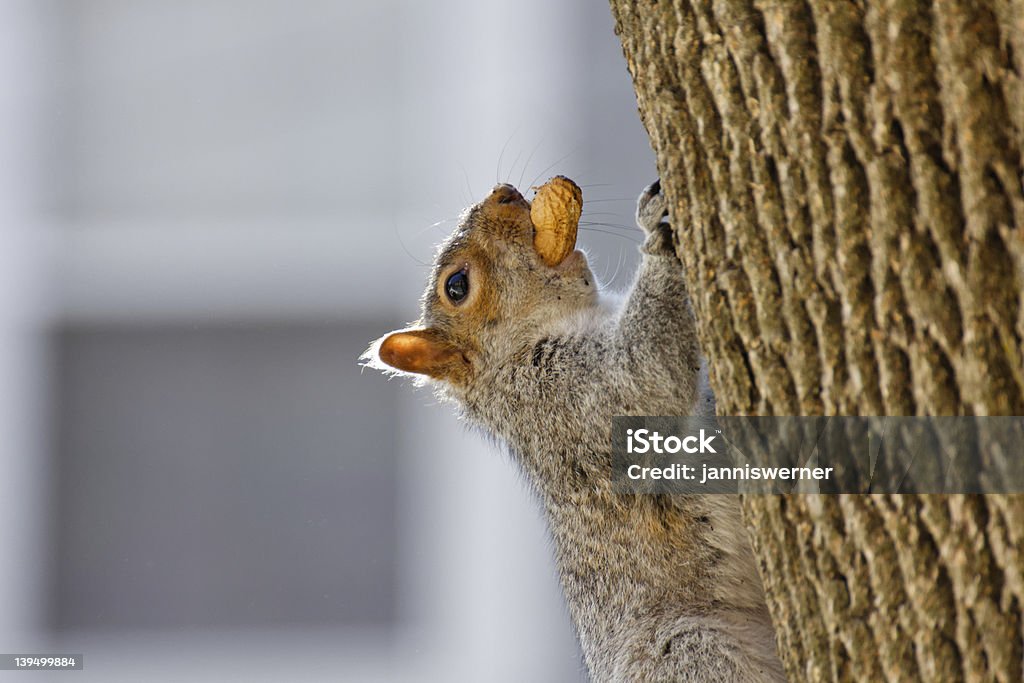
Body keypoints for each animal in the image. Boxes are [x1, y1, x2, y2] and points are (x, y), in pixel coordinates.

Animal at [362, 179, 782, 679]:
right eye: (457, 286)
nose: (504, 192)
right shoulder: (570, 397)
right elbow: (646, 373)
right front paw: (656, 233)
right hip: (690, 649)